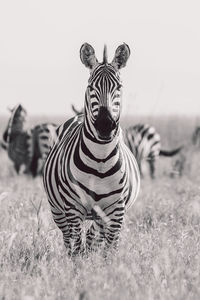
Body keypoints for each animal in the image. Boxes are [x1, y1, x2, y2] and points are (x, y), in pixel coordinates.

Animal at [43, 42, 141, 255]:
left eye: (119, 87)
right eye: (90, 87)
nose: (105, 125)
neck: (100, 159)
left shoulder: (116, 211)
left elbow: (109, 250)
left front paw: (103, 265)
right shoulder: (73, 208)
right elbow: (77, 249)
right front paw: (81, 264)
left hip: (99, 215)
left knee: (92, 237)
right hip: (58, 210)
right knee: (69, 239)